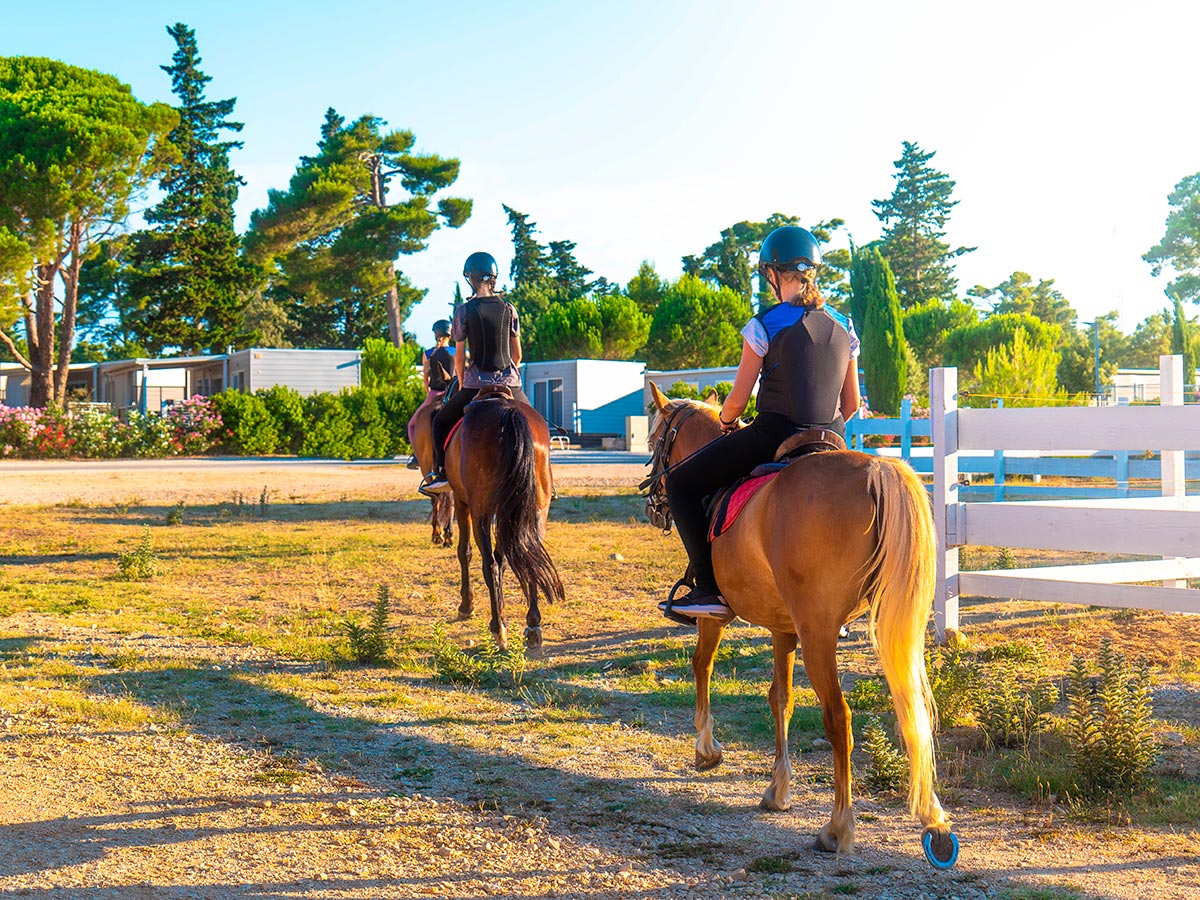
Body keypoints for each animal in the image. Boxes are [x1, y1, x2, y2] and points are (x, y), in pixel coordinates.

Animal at [448, 391, 564, 652]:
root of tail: (508, 411)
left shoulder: (462, 502)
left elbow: (465, 552)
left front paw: (466, 606)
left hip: (481, 510)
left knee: (489, 563)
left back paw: (498, 628)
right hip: (534, 509)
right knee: (528, 555)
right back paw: (532, 626)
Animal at [643, 384, 960, 868]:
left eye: (654, 440)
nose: (652, 504)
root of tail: (875, 468)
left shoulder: (717, 618)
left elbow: (702, 666)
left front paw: (707, 749)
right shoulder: (783, 629)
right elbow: (781, 700)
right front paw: (777, 788)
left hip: (819, 635)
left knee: (839, 718)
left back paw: (838, 827)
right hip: (880, 629)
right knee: (912, 708)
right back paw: (933, 820)